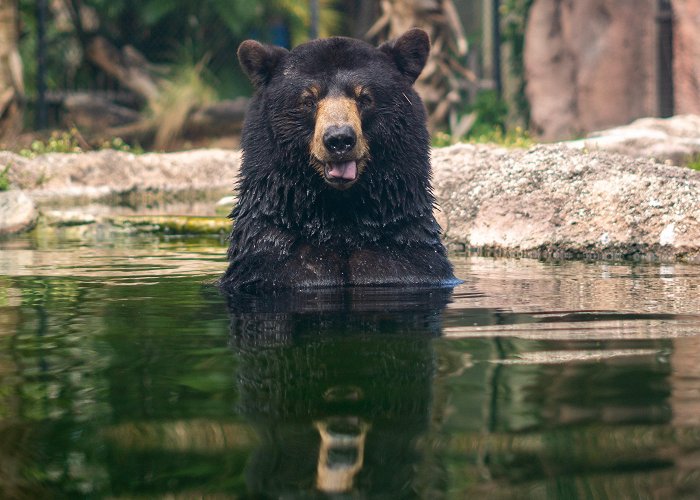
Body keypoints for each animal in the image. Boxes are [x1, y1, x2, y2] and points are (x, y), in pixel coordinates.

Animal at [221, 28, 456, 290]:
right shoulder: (271, 260)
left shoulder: (409, 258)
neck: (339, 212)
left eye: (364, 98)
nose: (339, 139)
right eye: (308, 100)